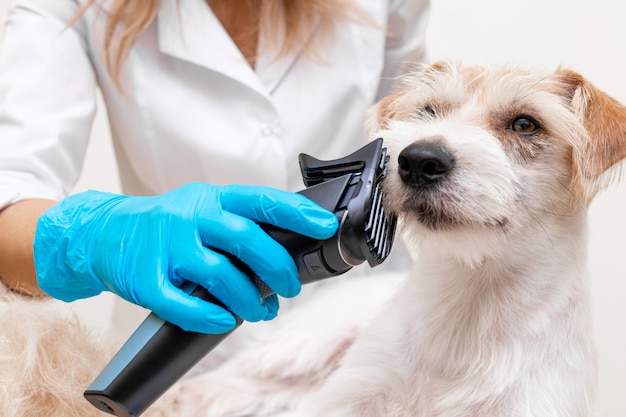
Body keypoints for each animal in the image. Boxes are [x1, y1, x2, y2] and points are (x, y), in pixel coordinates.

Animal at [1, 62, 624, 416]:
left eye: (525, 124)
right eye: (427, 111)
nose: (418, 158)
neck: (473, 301)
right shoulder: (351, 396)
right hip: (302, 345)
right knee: (235, 381)